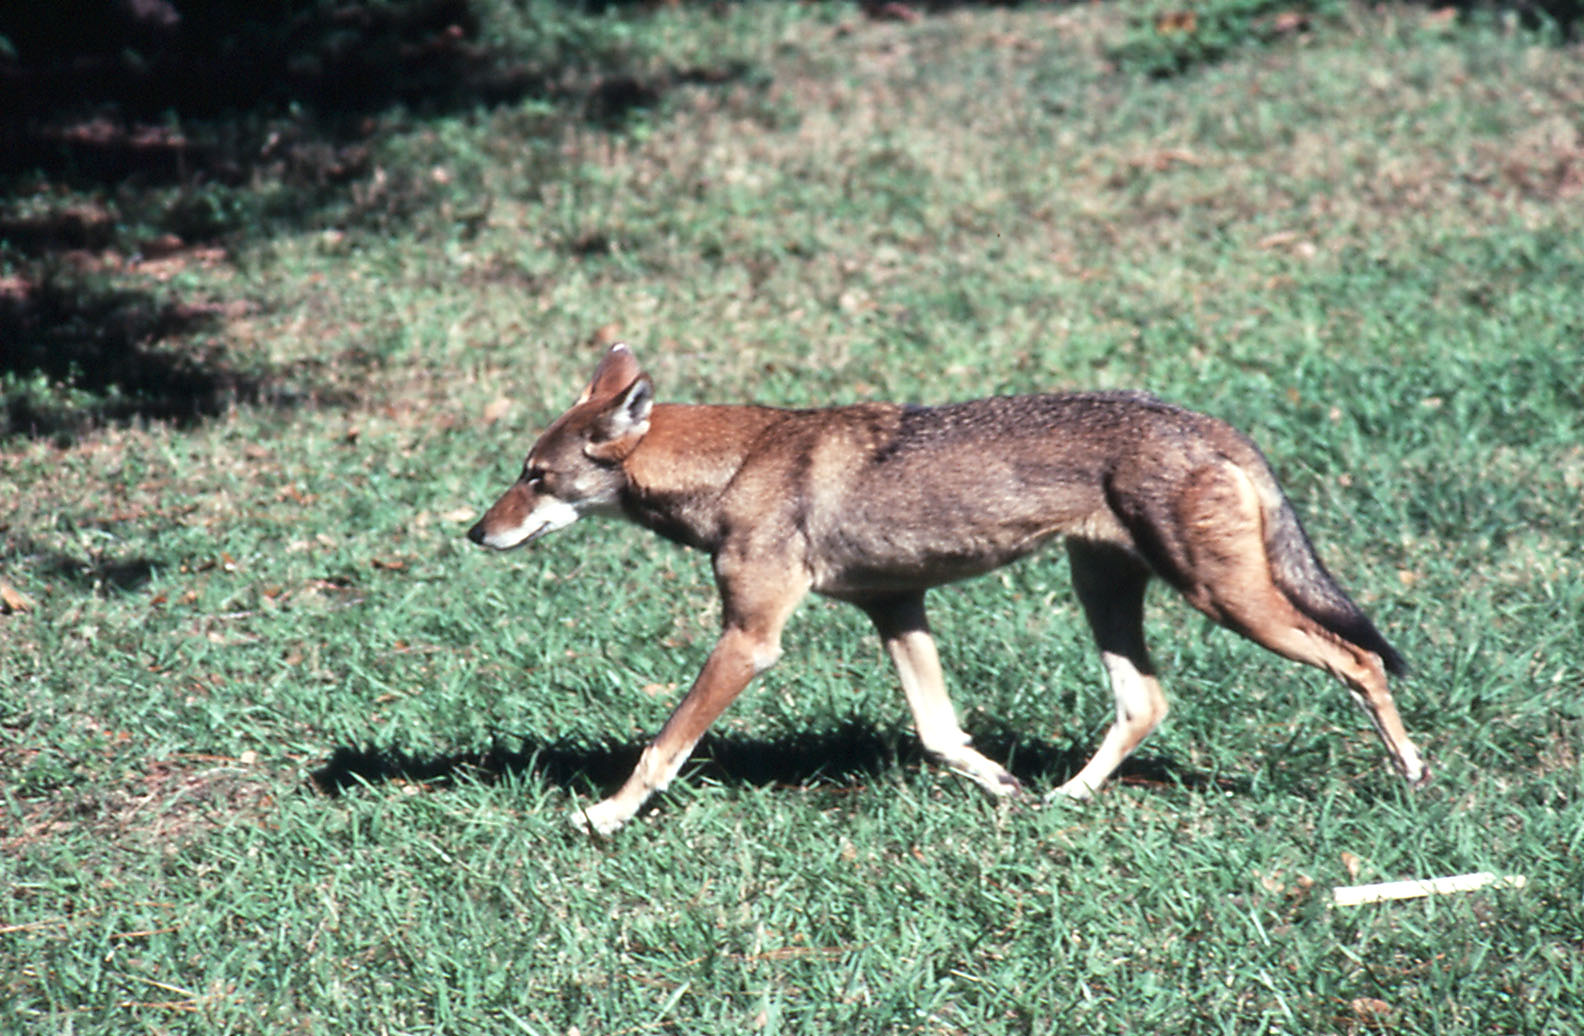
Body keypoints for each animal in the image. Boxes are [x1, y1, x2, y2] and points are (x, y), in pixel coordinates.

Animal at [468, 344, 1427, 833]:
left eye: (535, 477)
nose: (475, 533)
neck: (738, 466)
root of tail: (1212, 425)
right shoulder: (896, 608)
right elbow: (938, 734)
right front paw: (1003, 787)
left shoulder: (751, 641)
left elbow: (662, 746)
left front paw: (607, 815)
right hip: (1111, 596)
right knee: (1146, 703)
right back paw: (1067, 799)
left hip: (1225, 601)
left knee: (1360, 661)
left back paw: (1412, 773)